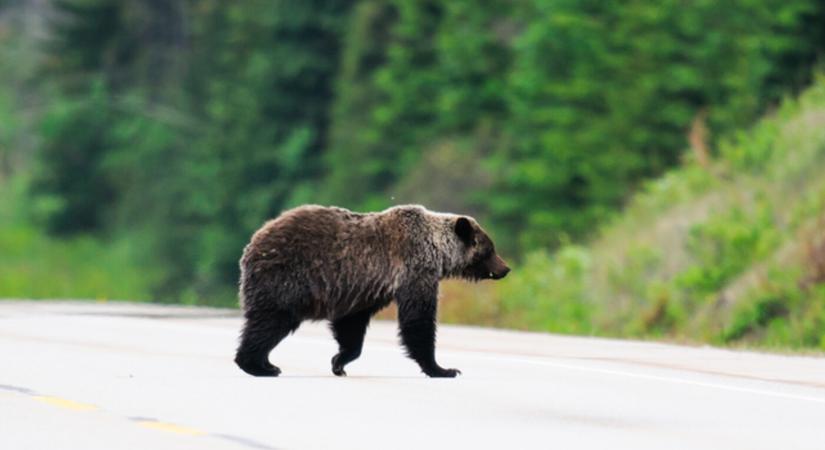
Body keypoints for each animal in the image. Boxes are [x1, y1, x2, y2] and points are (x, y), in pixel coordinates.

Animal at [232, 204, 512, 376]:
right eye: (490, 249)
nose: (505, 268)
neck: (437, 251)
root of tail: (253, 242)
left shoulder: (365, 287)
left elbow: (351, 325)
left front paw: (339, 362)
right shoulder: (413, 270)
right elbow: (418, 320)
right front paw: (443, 369)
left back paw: (265, 363)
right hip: (287, 278)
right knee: (270, 321)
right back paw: (258, 366)